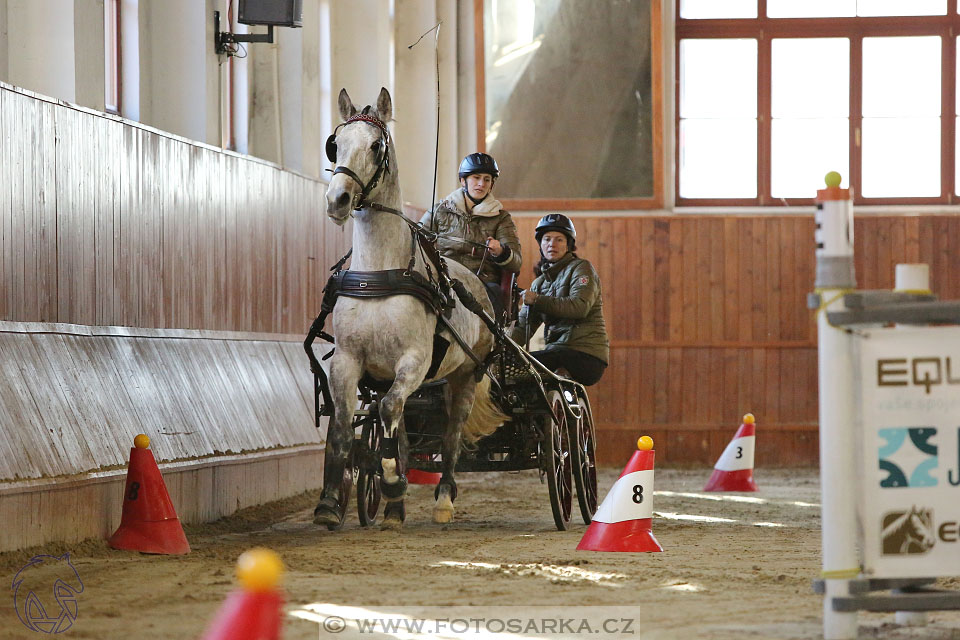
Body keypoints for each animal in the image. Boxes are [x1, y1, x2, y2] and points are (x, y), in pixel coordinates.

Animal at [318, 89, 506, 528]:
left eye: (376, 145)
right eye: (336, 143)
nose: (338, 199)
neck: (378, 273)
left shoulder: (415, 360)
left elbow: (388, 408)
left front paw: (391, 480)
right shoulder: (348, 360)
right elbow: (343, 423)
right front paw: (331, 502)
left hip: (464, 377)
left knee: (450, 436)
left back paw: (442, 499)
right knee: (400, 428)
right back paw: (394, 509)